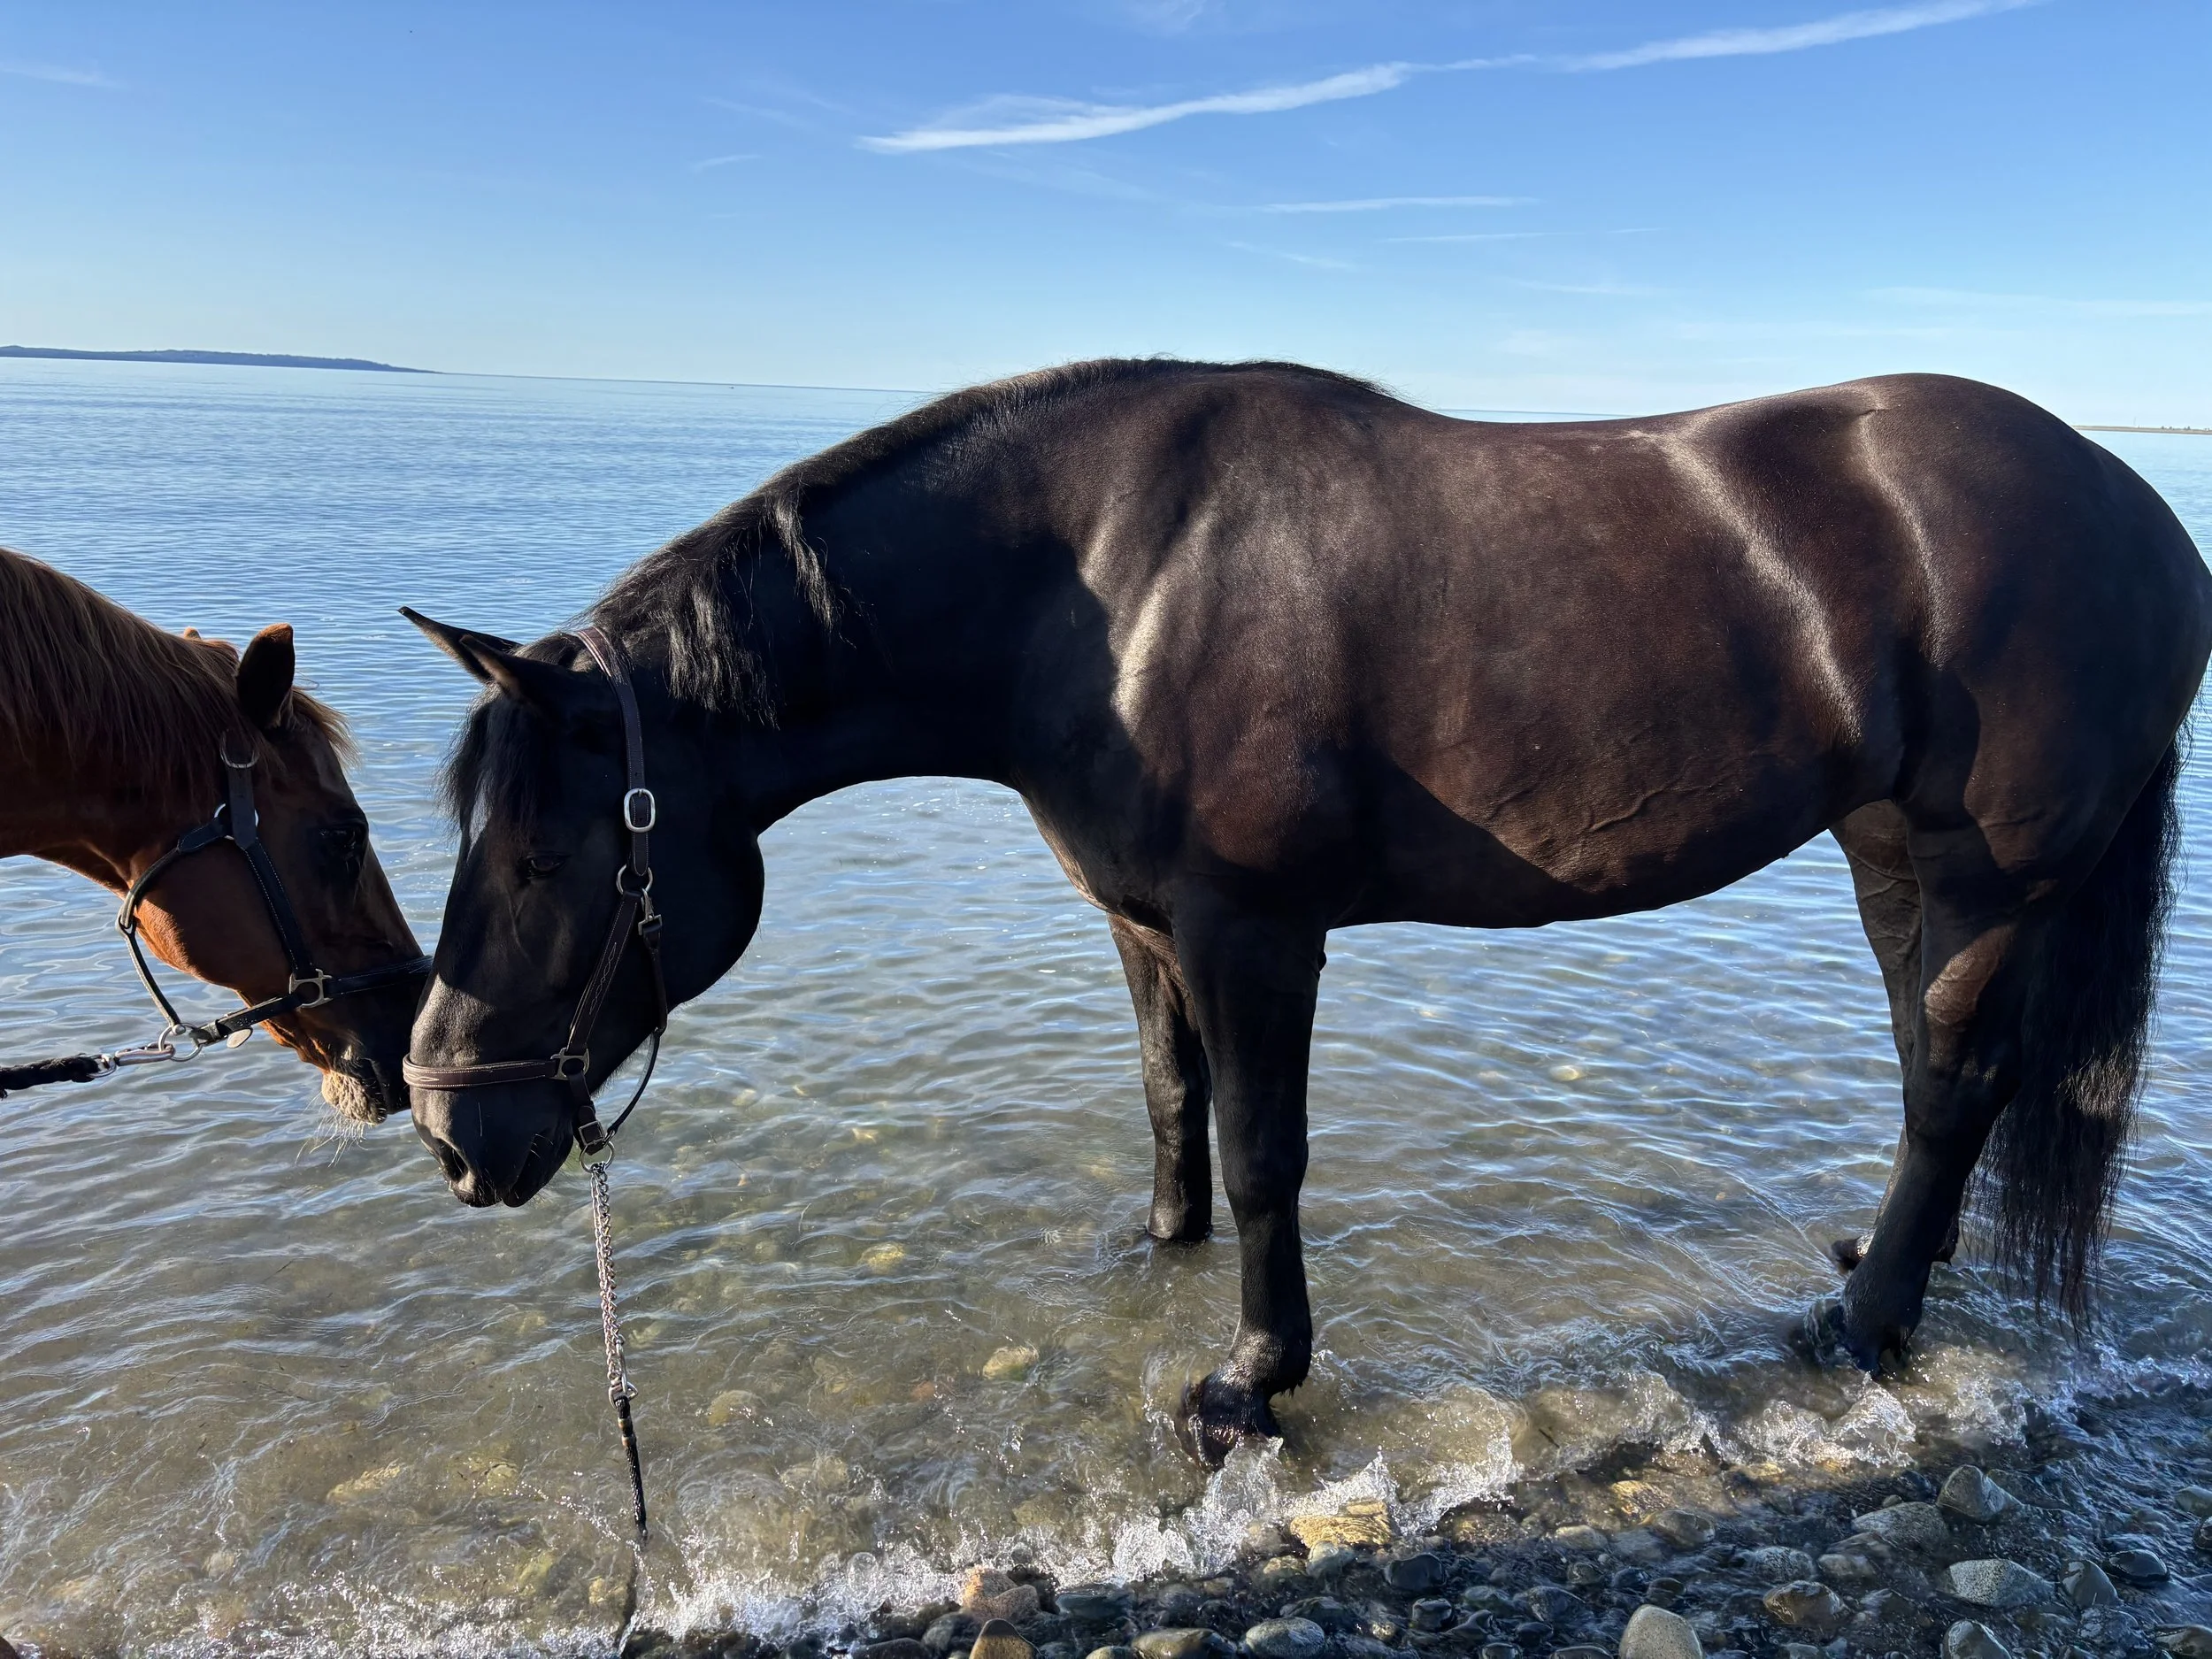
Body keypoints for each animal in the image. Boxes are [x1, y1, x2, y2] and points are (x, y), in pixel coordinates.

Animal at [400, 360, 2210, 1462]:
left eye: (545, 856)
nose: (448, 1128)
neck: (1104, 584)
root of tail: (2144, 517)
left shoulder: (1250, 931)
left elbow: (1267, 1152)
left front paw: (1251, 1382)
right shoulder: (1145, 927)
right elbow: (1174, 1104)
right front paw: (1161, 1256)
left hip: (1989, 876)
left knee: (1958, 1081)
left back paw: (1867, 1322)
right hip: (1889, 852)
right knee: (1931, 1072)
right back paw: (1880, 1264)